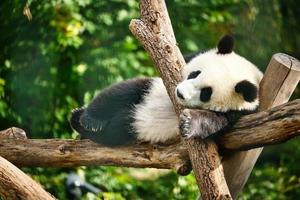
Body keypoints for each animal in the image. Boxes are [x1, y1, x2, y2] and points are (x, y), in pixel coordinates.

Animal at [70, 35, 262, 146]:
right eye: (195, 73)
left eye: (206, 93)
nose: (180, 93)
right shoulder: (186, 60)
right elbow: (121, 90)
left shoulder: (237, 114)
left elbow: (214, 122)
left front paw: (188, 123)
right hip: (147, 91)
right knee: (125, 92)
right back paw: (85, 119)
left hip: (132, 128)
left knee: (114, 133)